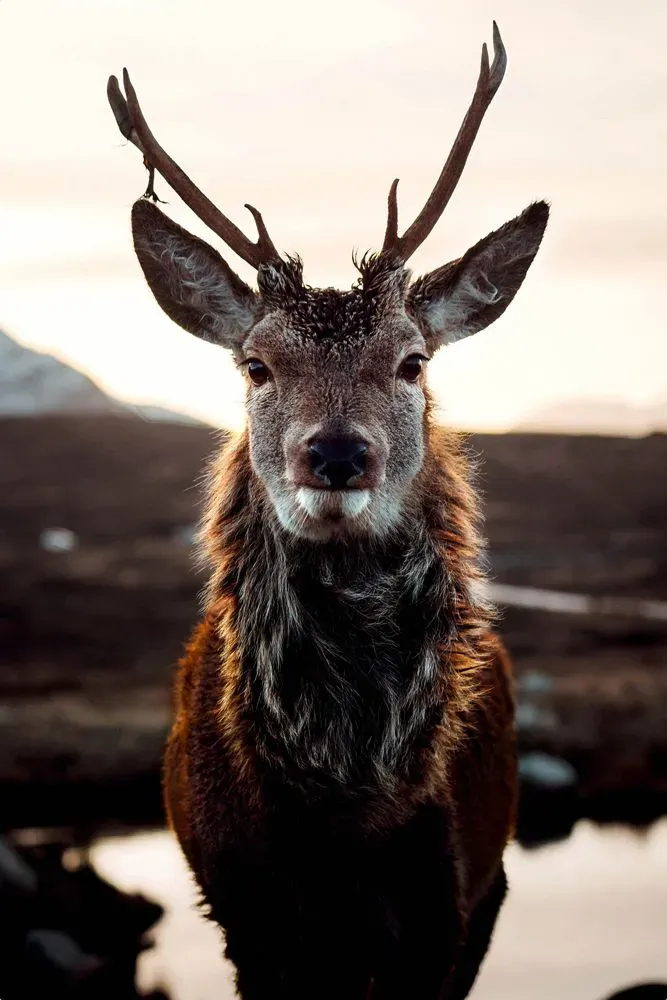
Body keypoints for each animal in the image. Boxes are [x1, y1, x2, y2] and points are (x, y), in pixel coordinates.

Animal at [108, 23, 548, 1000]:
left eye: (412, 361)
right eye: (256, 365)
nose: (338, 453)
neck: (348, 817)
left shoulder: (453, 905)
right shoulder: (246, 911)